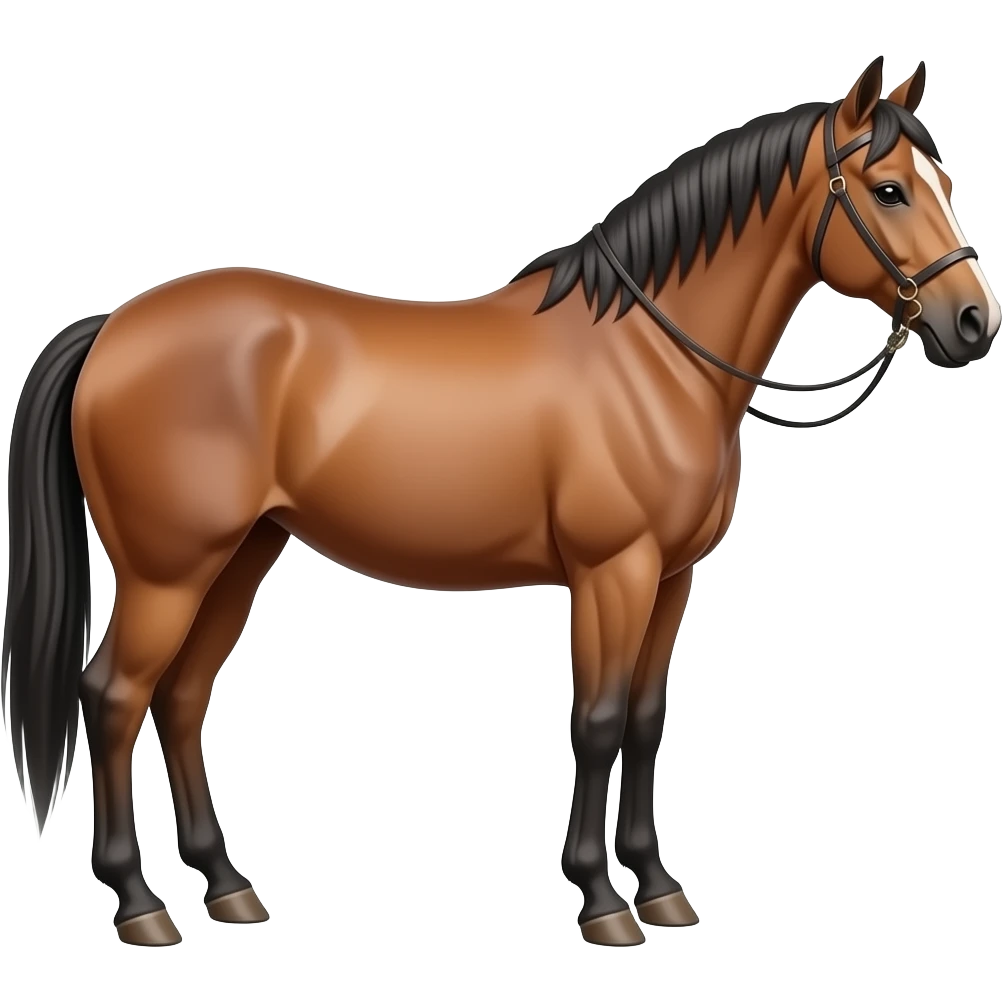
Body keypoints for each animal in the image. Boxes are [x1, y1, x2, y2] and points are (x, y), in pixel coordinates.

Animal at [2, 54, 998, 949]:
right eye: (887, 190)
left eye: (943, 180)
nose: (972, 323)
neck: (649, 356)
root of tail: (114, 327)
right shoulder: (611, 573)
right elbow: (595, 722)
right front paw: (601, 900)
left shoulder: (670, 578)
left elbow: (645, 720)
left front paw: (660, 886)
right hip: (168, 571)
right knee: (113, 696)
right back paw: (140, 904)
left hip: (240, 556)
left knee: (178, 699)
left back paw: (227, 886)